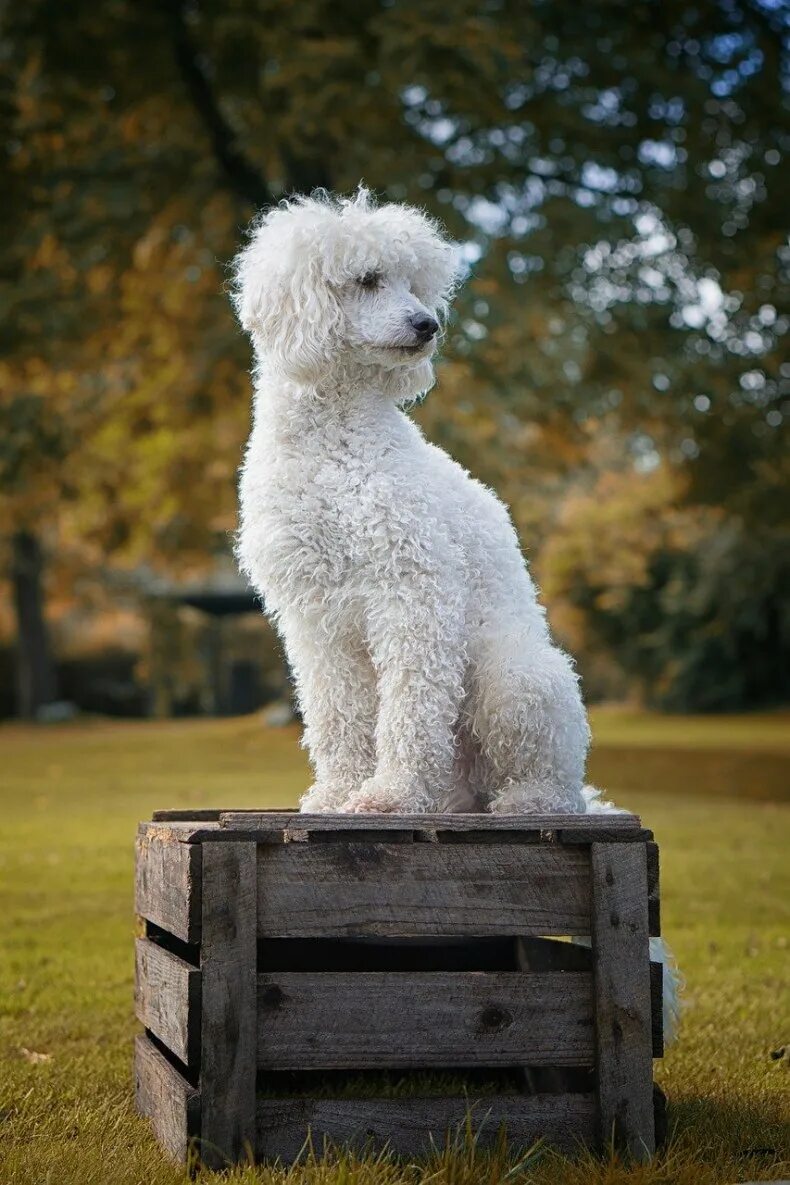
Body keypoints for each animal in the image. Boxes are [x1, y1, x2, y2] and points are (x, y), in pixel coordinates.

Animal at [232, 187, 601, 815]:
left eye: (415, 285)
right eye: (368, 279)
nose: (427, 325)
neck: (331, 444)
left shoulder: (411, 590)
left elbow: (410, 705)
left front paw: (391, 794)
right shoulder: (313, 614)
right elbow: (336, 711)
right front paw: (339, 792)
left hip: (517, 678)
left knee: (551, 778)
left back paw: (526, 801)